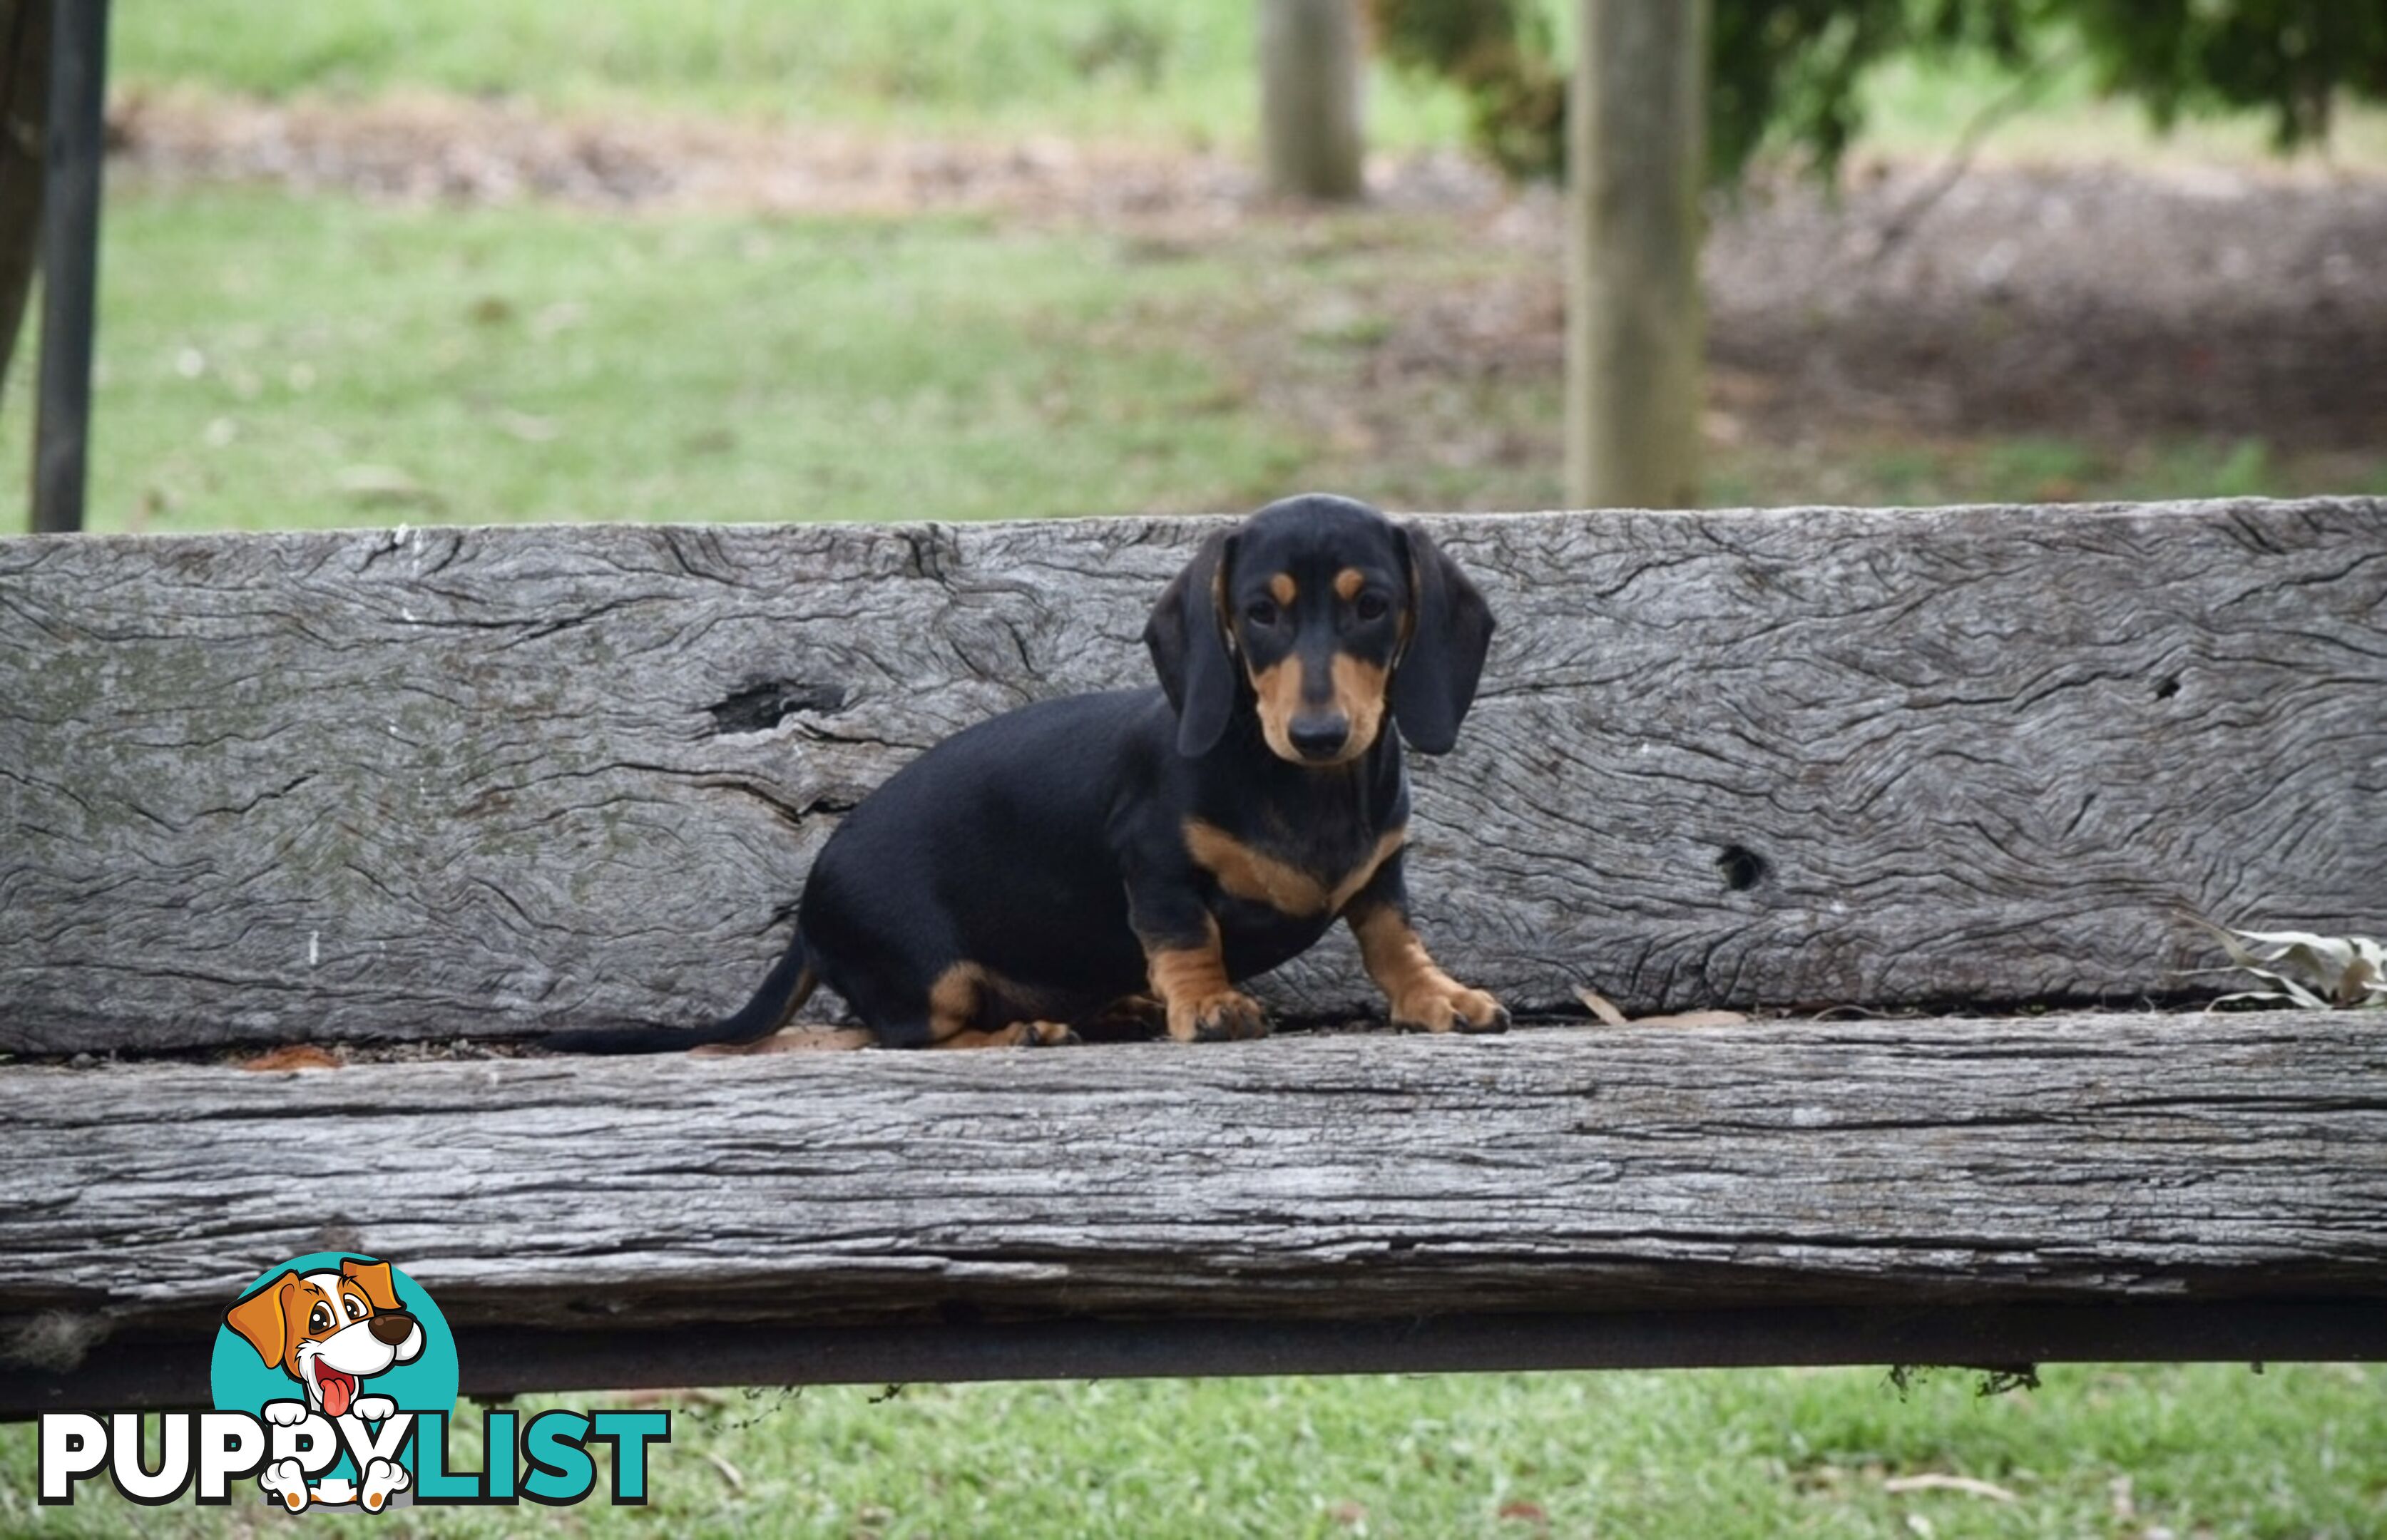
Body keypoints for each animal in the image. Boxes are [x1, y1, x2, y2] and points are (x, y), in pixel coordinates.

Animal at [558, 498, 1498, 1050]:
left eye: (1371, 606)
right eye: (1260, 613)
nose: (1317, 733)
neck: (1302, 791)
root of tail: (809, 915)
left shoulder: (1380, 873)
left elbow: (1390, 940)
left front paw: (1436, 995)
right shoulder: (1153, 865)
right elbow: (1186, 938)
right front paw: (1207, 1003)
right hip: (928, 976)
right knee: (912, 1036)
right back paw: (1029, 1032)